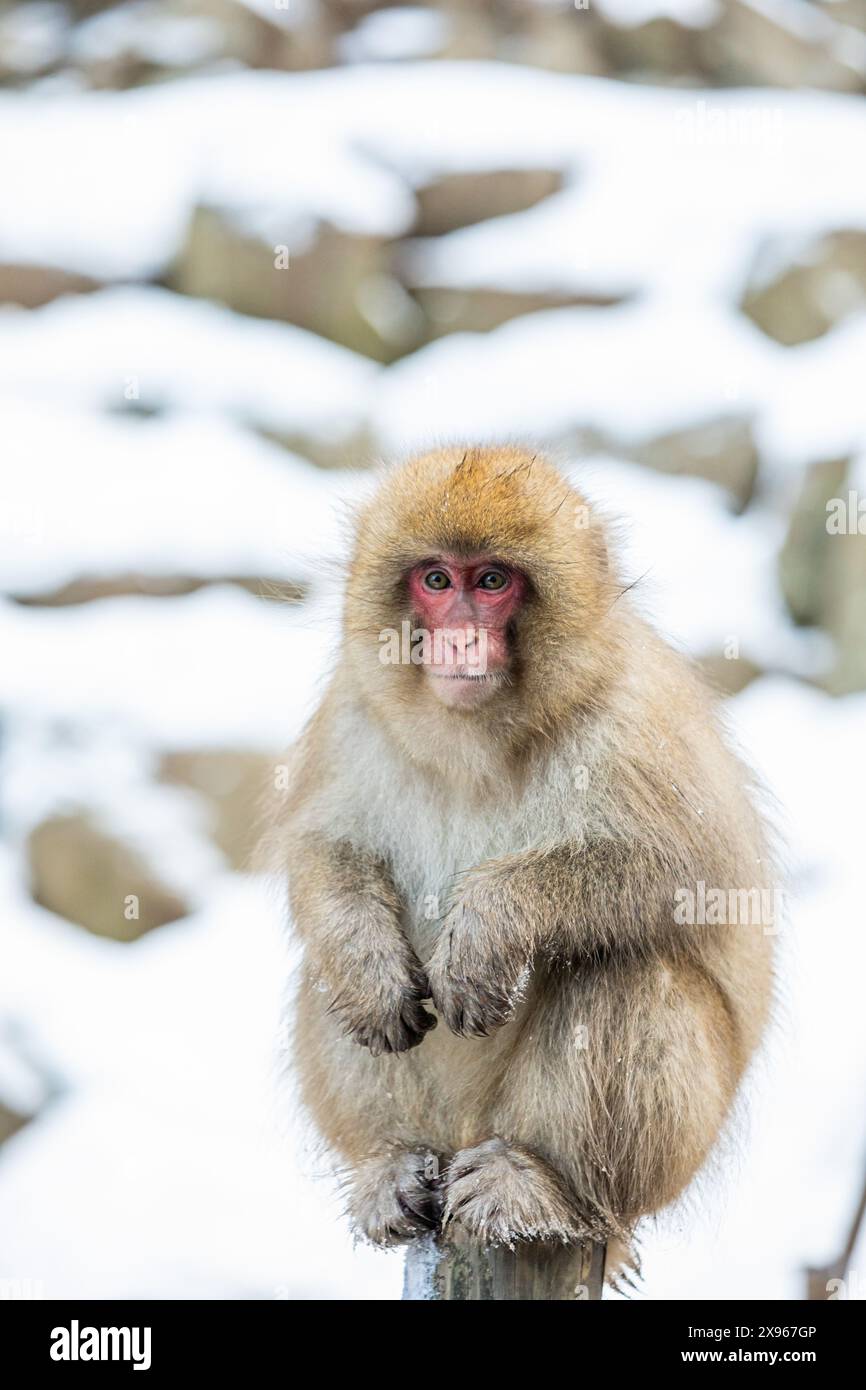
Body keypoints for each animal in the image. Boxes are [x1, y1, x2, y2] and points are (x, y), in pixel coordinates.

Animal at [280, 442, 778, 1273]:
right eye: (436, 580)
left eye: (492, 582)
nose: (458, 638)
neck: (478, 740)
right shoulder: (353, 709)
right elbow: (325, 848)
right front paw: (368, 963)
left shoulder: (631, 720)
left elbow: (694, 877)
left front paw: (489, 921)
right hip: (446, 1127)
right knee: (329, 980)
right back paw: (391, 1163)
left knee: (629, 970)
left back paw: (546, 1187)